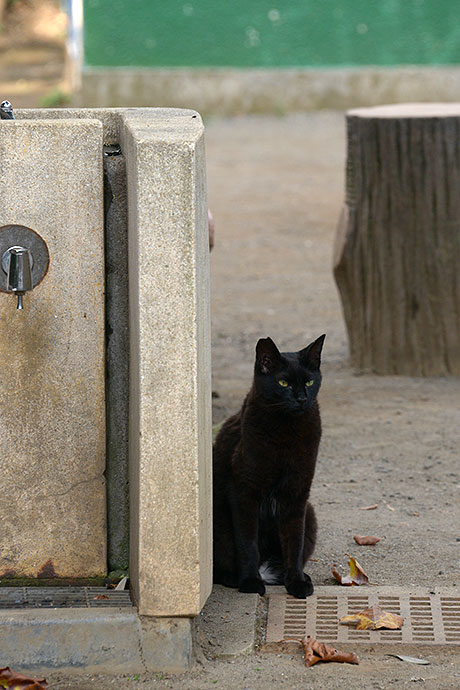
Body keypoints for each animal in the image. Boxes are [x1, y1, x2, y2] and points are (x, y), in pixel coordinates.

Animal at [212, 334, 324, 596]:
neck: (287, 430)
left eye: (309, 381)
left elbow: (294, 541)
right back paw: (237, 577)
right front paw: (251, 582)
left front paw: (296, 582)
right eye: (283, 383)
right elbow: (247, 543)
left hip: (311, 514)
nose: (302, 399)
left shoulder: (297, 494)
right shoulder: (244, 492)